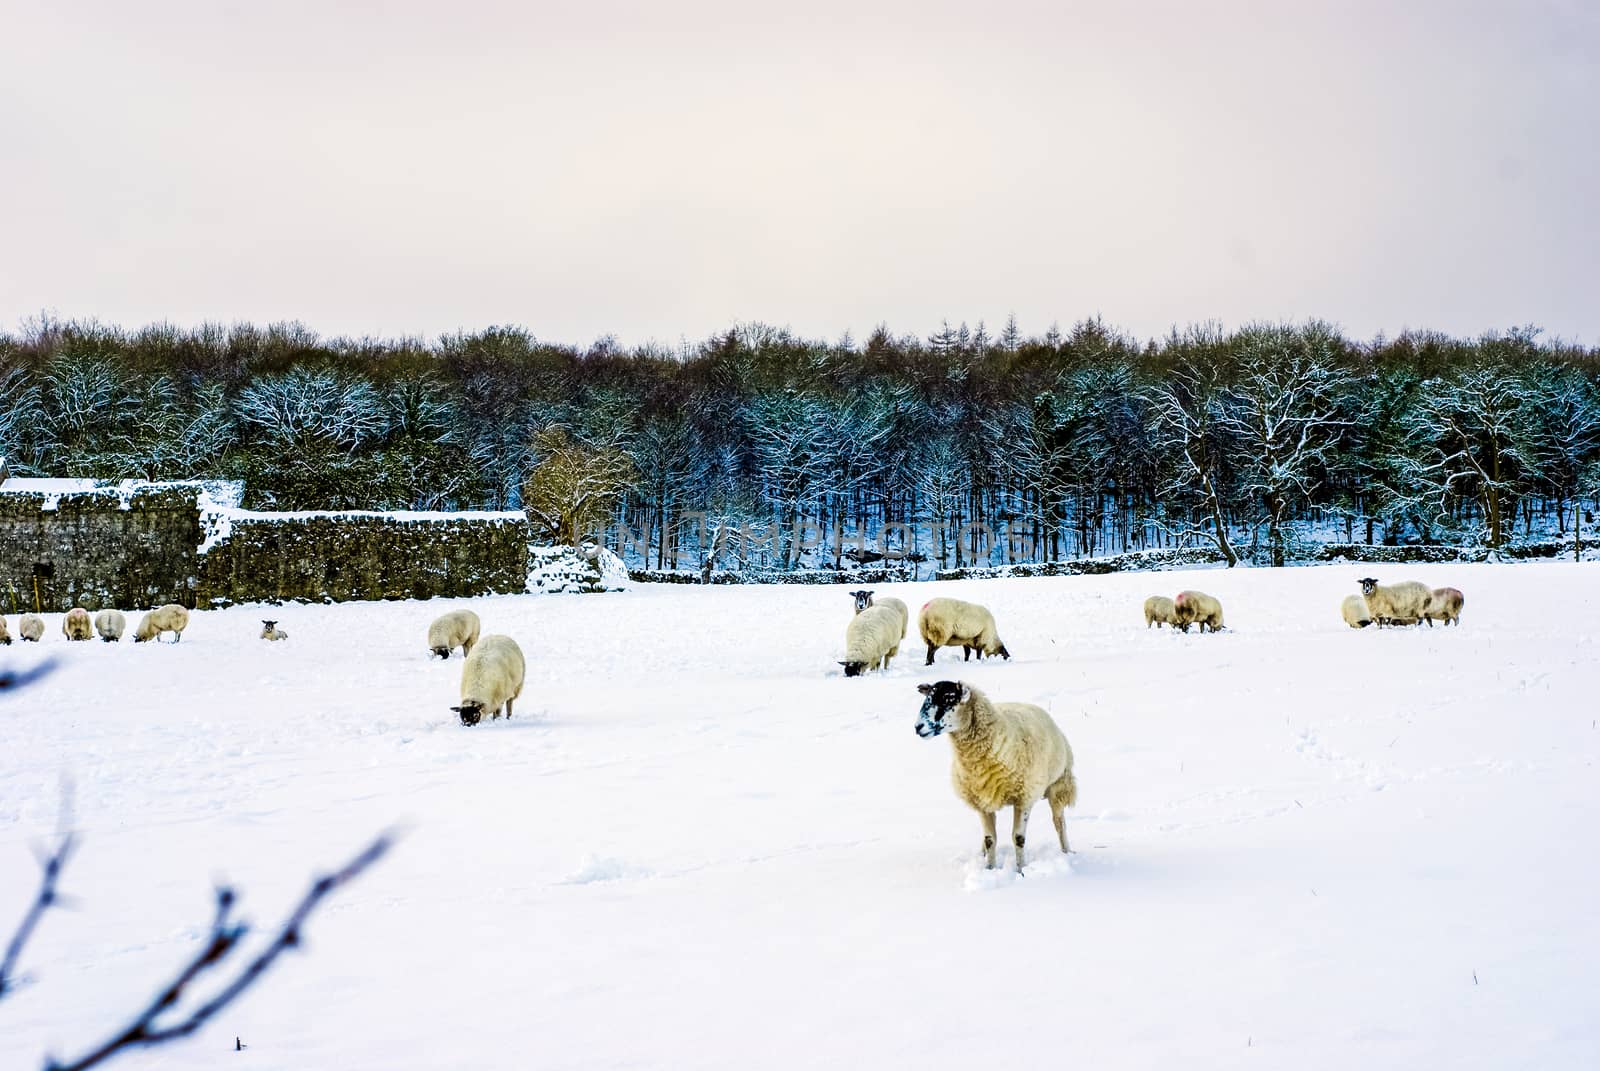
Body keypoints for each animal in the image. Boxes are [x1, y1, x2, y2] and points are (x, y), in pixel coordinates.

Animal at [915, 681, 1075, 870]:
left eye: (948, 699)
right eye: (927, 698)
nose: (918, 727)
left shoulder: (1024, 798)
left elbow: (1019, 838)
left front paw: (1021, 869)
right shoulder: (983, 802)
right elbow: (990, 840)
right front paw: (989, 868)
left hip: (1058, 785)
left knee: (1059, 823)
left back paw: (1066, 852)